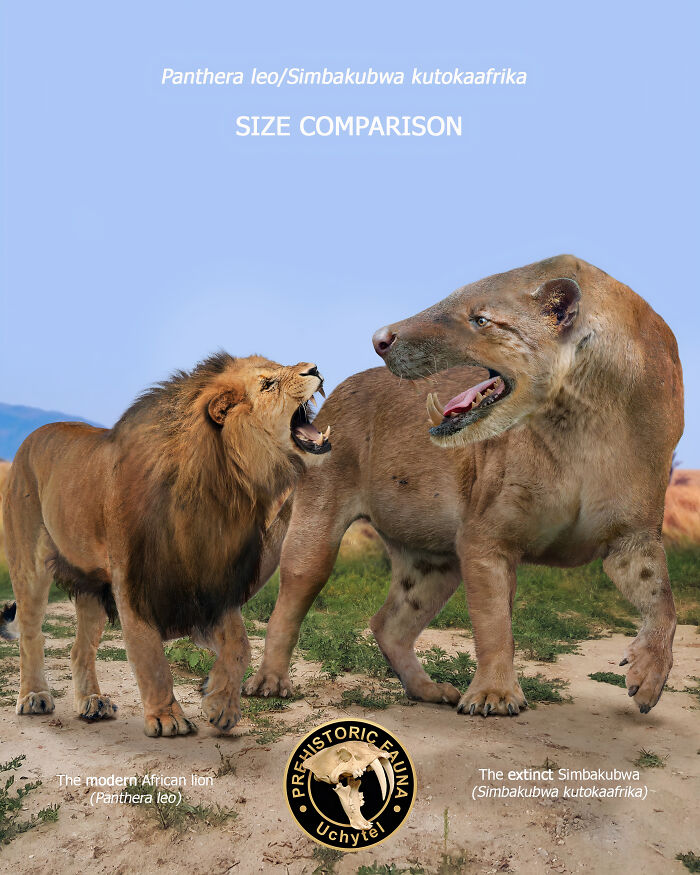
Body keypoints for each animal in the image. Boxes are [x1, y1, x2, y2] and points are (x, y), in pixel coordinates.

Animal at [3, 353, 330, 736]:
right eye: (267, 384)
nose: (314, 368)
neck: (221, 488)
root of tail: (34, 435)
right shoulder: (136, 582)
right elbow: (150, 656)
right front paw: (166, 717)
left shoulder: (209, 582)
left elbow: (240, 646)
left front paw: (220, 705)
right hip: (30, 566)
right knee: (30, 634)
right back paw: (34, 697)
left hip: (93, 585)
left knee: (79, 649)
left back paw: (92, 702)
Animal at [245, 256, 682, 717]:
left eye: (481, 320)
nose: (380, 339)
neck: (581, 424)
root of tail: (336, 394)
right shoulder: (486, 539)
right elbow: (495, 624)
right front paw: (494, 695)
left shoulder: (634, 538)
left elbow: (663, 602)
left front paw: (649, 677)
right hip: (318, 531)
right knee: (288, 604)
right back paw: (269, 682)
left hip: (432, 564)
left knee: (388, 624)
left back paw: (428, 690)